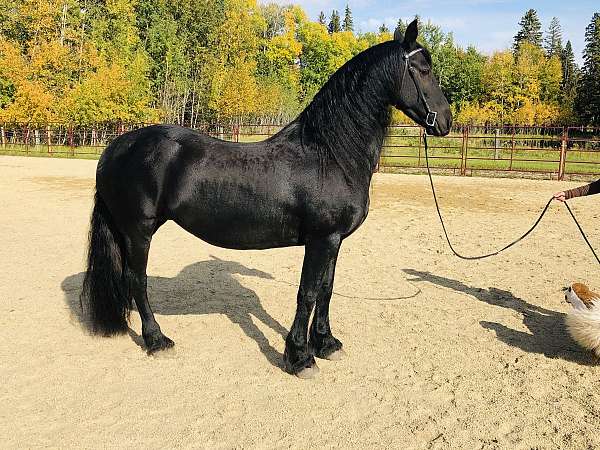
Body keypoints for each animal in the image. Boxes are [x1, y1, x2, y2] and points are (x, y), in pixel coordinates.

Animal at [83, 19, 450, 378]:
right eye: (422, 69)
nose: (446, 121)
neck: (330, 154)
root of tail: (116, 146)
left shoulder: (335, 240)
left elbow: (327, 290)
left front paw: (326, 343)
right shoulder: (321, 240)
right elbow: (308, 293)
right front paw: (300, 357)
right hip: (139, 231)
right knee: (137, 280)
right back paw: (157, 340)